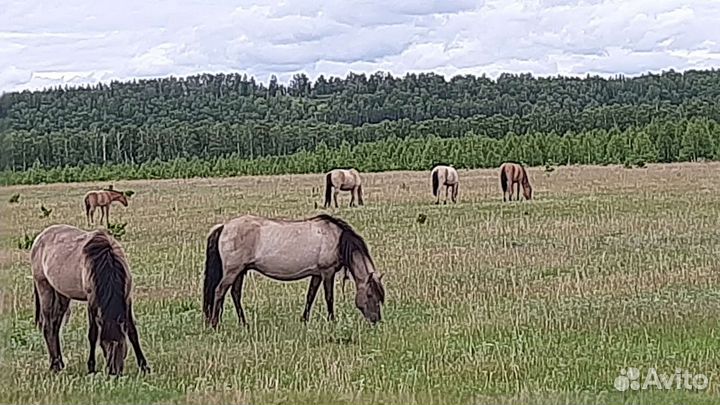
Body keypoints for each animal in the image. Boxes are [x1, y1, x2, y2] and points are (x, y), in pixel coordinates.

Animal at [30, 224, 150, 375]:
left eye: (122, 344)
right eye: (103, 345)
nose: (114, 372)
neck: (106, 261)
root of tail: (40, 238)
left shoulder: (127, 298)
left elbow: (132, 330)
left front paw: (144, 366)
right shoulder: (92, 301)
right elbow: (92, 334)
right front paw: (91, 367)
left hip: (62, 295)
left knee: (55, 326)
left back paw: (60, 363)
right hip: (44, 287)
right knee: (48, 326)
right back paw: (54, 365)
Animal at [202, 214, 385, 328]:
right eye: (370, 294)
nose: (376, 320)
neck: (337, 239)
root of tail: (224, 226)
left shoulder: (317, 274)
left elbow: (310, 296)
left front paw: (304, 320)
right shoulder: (328, 272)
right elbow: (329, 298)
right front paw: (332, 321)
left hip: (240, 271)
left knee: (235, 294)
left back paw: (243, 323)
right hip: (232, 271)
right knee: (219, 291)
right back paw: (214, 324)